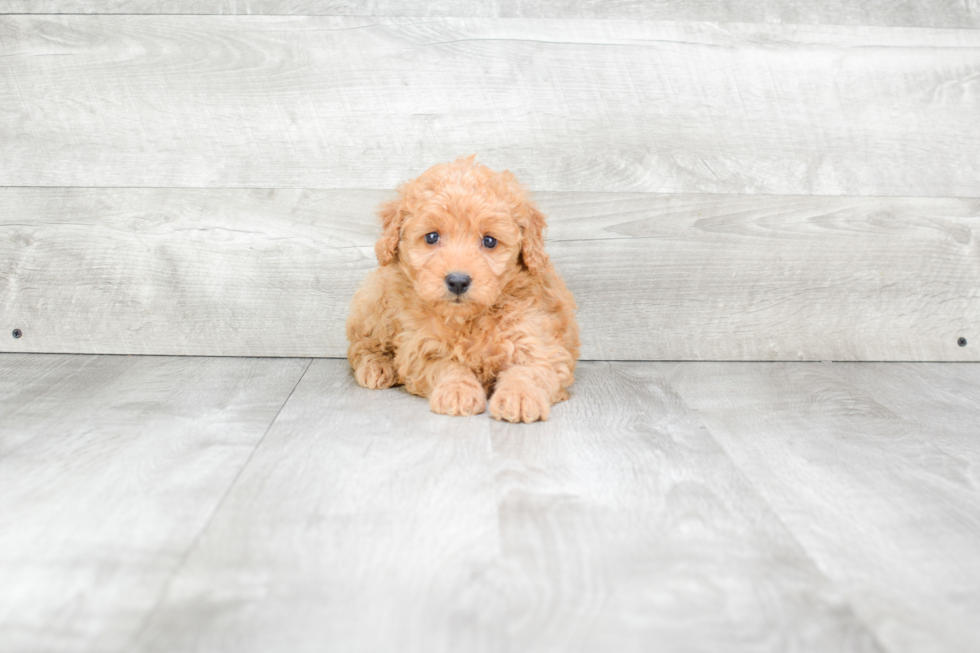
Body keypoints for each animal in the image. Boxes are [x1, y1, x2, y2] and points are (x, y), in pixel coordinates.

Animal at [344, 157, 580, 422]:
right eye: (432, 237)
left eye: (489, 241)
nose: (458, 281)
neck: (468, 320)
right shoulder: (420, 348)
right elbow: (447, 366)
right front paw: (457, 391)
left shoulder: (538, 340)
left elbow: (529, 370)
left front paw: (520, 396)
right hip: (377, 302)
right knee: (361, 344)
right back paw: (377, 367)